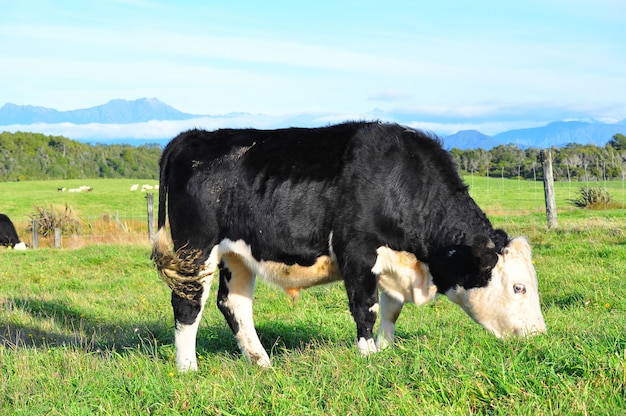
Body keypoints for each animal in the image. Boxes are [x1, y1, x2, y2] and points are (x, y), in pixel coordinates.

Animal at [152, 122, 544, 372]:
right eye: (518, 287)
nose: (539, 335)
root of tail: (191, 137)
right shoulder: (358, 253)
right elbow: (365, 308)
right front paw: (368, 358)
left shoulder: (393, 262)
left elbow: (391, 310)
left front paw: (386, 351)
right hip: (195, 249)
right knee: (187, 303)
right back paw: (188, 369)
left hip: (237, 256)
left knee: (233, 303)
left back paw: (261, 362)